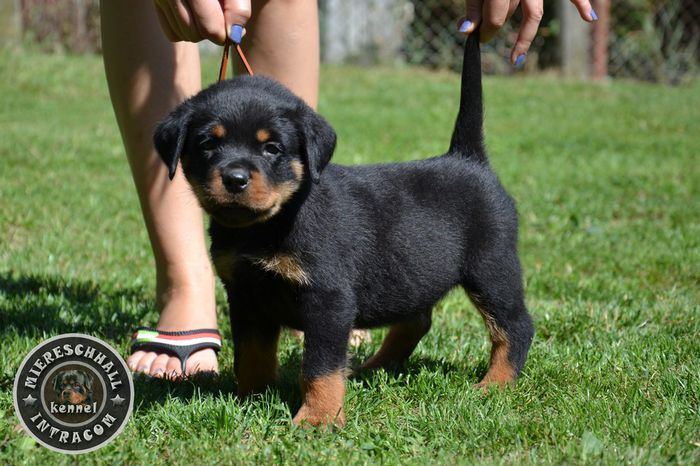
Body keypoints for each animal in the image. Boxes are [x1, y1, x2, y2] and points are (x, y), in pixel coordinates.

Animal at [154, 31, 536, 426]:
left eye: (272, 148)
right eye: (208, 144)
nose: (235, 178)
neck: (267, 226)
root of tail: (468, 159)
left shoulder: (328, 298)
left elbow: (319, 367)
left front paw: (317, 419)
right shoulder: (245, 295)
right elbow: (253, 354)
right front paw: (249, 399)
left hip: (491, 266)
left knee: (515, 326)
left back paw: (495, 384)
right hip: (411, 272)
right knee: (416, 319)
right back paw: (373, 367)